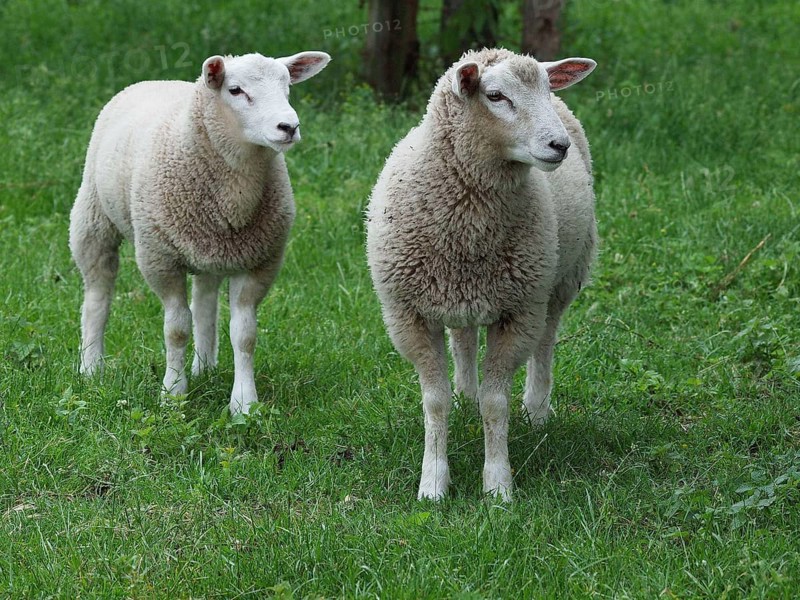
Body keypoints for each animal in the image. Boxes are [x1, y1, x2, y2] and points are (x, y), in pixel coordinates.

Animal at [70, 51, 330, 415]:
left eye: (287, 86)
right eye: (235, 90)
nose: (289, 127)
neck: (236, 194)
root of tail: (156, 80)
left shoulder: (260, 260)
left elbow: (244, 333)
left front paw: (244, 403)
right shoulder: (160, 259)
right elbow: (176, 329)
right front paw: (172, 394)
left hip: (211, 249)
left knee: (205, 302)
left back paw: (204, 366)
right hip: (92, 216)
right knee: (97, 294)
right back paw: (91, 367)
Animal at [366, 48, 597, 500]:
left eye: (547, 87)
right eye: (495, 96)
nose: (558, 145)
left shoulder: (519, 313)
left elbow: (496, 403)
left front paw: (498, 485)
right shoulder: (409, 316)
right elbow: (434, 401)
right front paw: (433, 483)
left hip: (559, 281)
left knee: (546, 343)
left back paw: (537, 410)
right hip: (459, 294)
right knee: (464, 339)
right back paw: (465, 398)